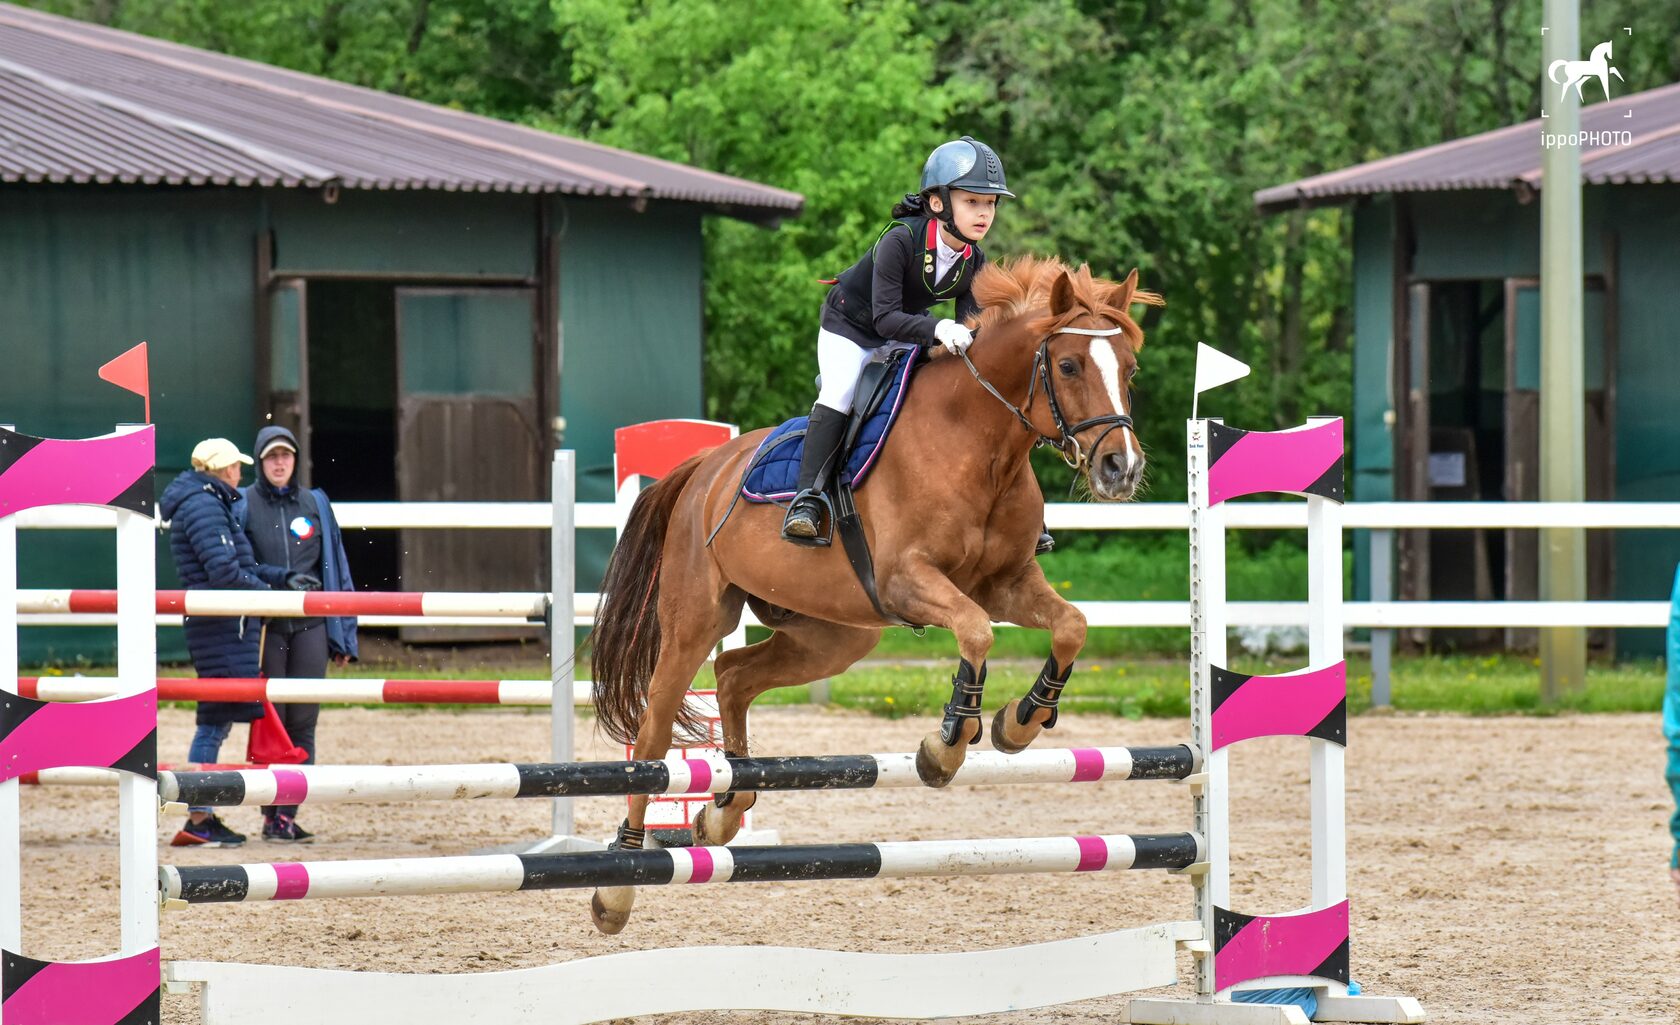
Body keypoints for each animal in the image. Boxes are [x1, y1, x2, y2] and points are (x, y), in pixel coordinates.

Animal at [588, 255, 1155, 927]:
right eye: (1068, 365)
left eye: (1130, 368)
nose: (1121, 469)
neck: (979, 444)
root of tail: (704, 468)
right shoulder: (907, 581)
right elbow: (975, 631)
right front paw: (946, 746)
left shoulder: (1007, 583)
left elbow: (1070, 626)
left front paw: (1019, 723)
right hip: (695, 621)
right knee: (654, 735)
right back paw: (617, 884)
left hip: (831, 636)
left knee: (734, 674)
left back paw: (725, 811)